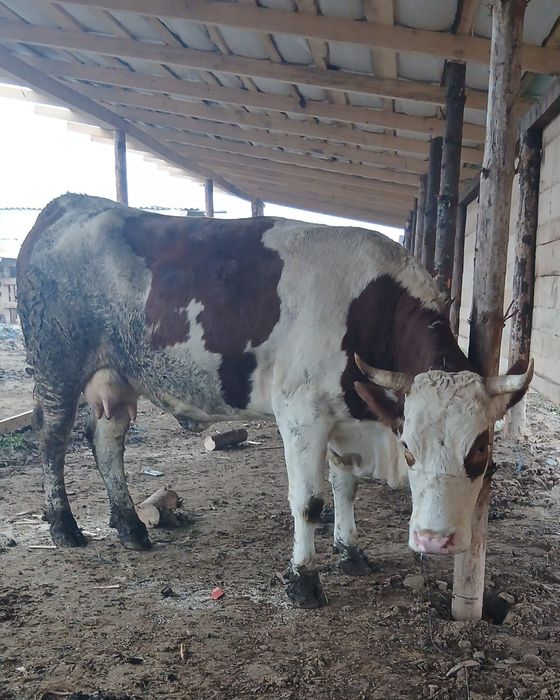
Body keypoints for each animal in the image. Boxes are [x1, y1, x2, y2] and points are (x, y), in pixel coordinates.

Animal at [17, 194, 533, 609]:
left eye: (482, 449)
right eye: (409, 448)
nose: (434, 541)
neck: (370, 307)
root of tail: (67, 203)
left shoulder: (346, 417)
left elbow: (346, 487)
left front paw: (351, 552)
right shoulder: (302, 414)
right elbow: (309, 501)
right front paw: (303, 581)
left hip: (117, 375)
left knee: (106, 440)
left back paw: (130, 526)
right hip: (56, 364)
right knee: (52, 439)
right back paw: (63, 526)